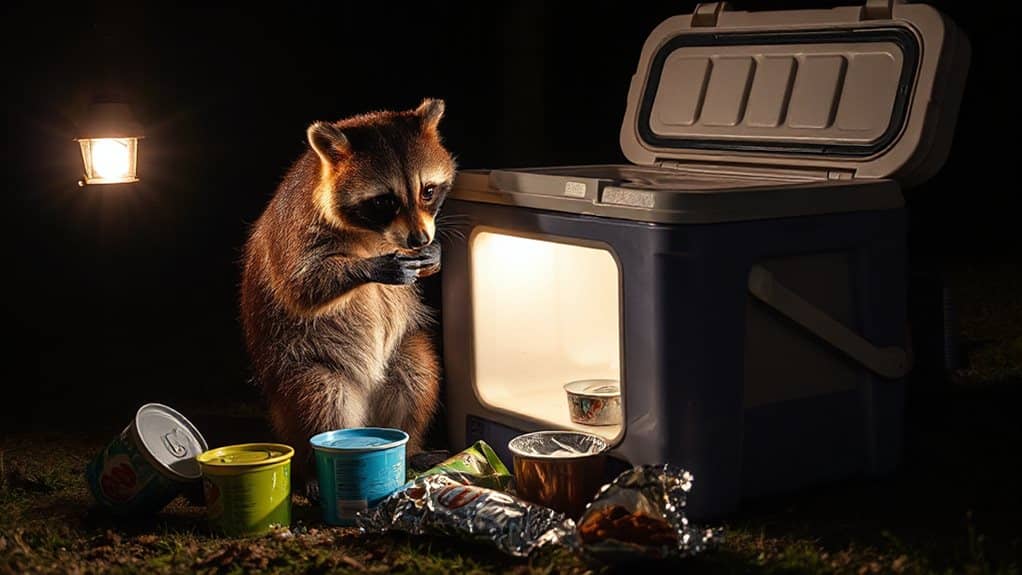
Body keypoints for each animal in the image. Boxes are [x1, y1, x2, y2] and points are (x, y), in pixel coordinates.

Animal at [240, 99, 454, 489]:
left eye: (428, 191)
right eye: (384, 201)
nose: (420, 240)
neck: (373, 233)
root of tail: (368, 404)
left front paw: (435, 254)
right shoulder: (295, 228)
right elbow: (301, 286)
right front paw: (370, 268)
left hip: (404, 352)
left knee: (419, 376)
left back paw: (411, 448)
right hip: (300, 367)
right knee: (321, 398)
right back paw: (312, 466)